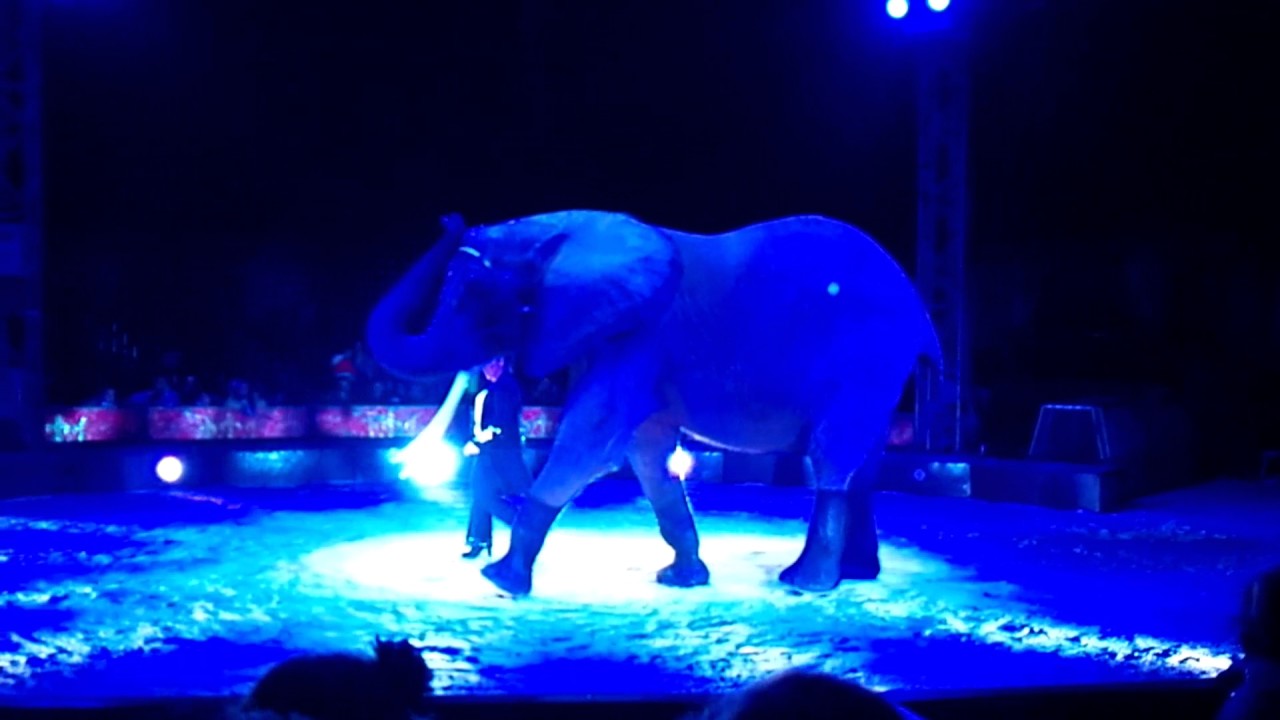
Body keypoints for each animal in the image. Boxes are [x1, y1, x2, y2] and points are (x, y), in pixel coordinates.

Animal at [367, 210, 941, 596]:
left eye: (476, 299)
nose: (453, 219)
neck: (554, 229)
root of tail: (921, 310)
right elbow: (647, 452)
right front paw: (681, 580)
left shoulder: (639, 337)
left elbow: (592, 441)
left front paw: (501, 580)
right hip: (877, 374)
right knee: (863, 464)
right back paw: (859, 573)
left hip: (864, 362)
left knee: (832, 458)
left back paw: (804, 583)